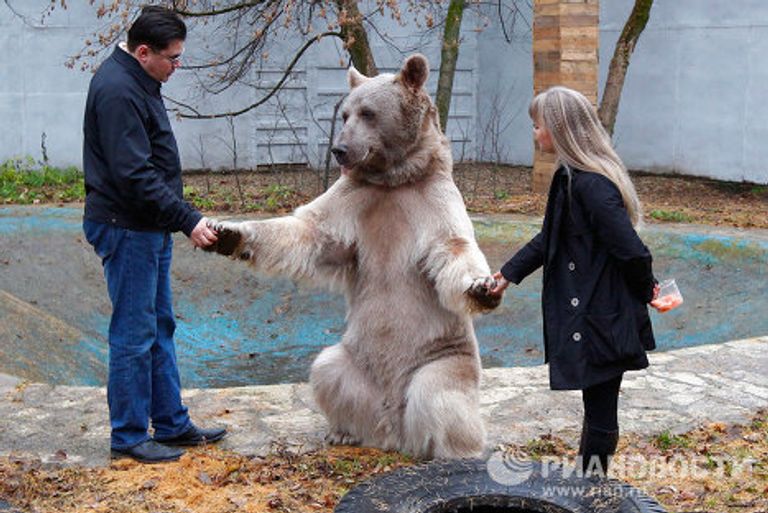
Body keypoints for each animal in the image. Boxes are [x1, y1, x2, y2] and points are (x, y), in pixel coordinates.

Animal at [205, 54, 500, 459]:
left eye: (368, 112)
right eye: (344, 114)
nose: (340, 149)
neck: (394, 179)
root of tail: (395, 430)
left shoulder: (432, 199)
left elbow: (452, 247)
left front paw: (483, 288)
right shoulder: (355, 198)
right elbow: (309, 231)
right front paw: (228, 233)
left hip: (443, 354)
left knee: (441, 395)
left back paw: (452, 450)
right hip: (357, 362)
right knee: (327, 371)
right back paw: (344, 431)